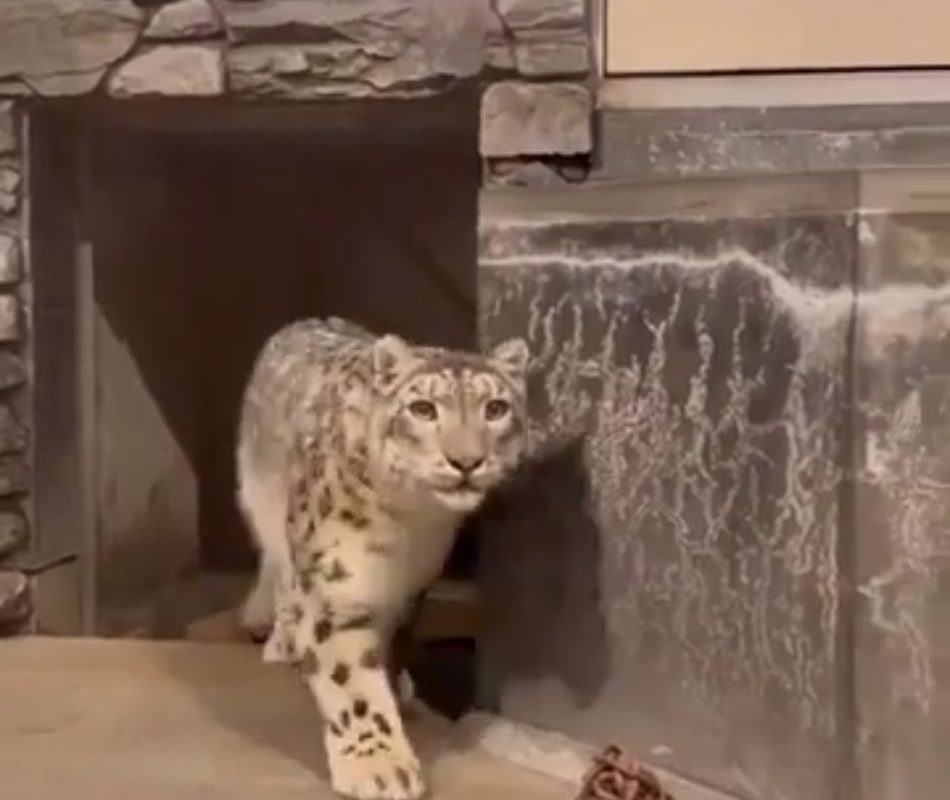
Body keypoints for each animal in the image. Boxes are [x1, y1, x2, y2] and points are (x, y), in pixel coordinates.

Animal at [236, 316, 528, 800]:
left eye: (496, 408)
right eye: (423, 409)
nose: (466, 461)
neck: (410, 525)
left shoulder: (409, 586)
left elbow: (391, 641)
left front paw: (395, 688)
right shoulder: (337, 588)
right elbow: (352, 682)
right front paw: (381, 767)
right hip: (265, 504)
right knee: (281, 573)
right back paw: (284, 639)